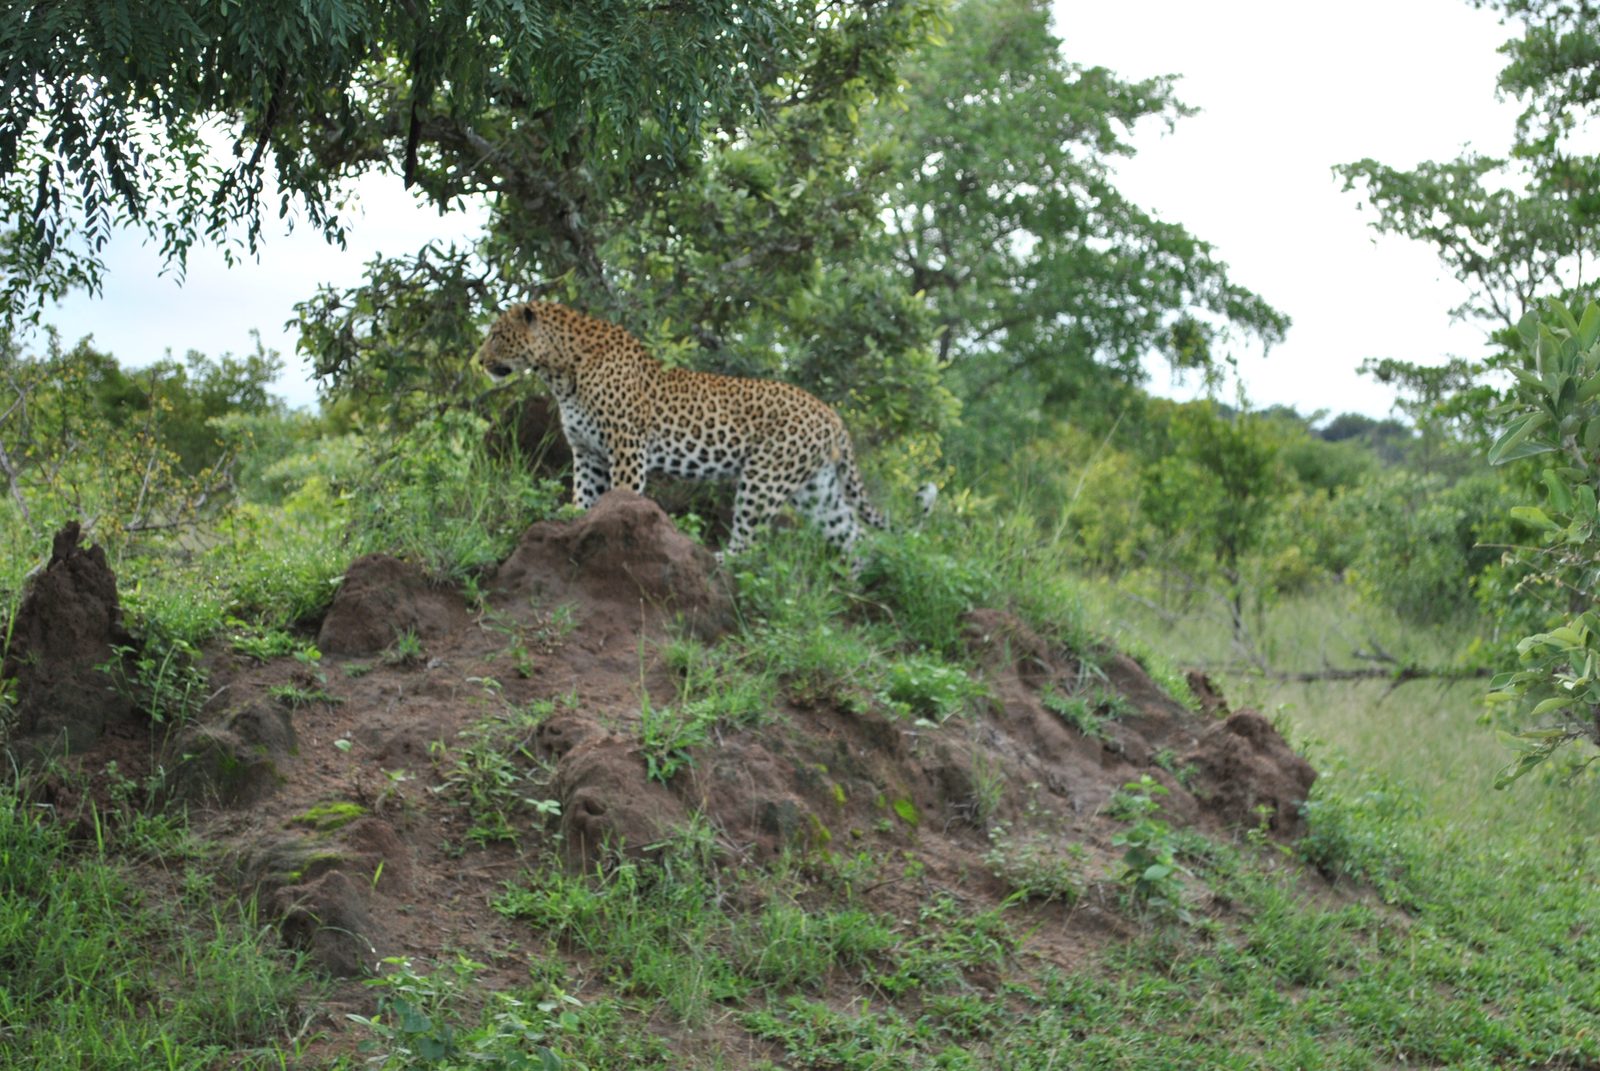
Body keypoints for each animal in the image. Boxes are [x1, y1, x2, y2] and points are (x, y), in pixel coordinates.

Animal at [476, 300, 887, 560]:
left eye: (496, 335)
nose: (478, 360)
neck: (560, 372)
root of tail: (832, 416)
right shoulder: (588, 452)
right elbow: (584, 498)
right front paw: (571, 524)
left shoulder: (627, 447)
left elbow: (622, 495)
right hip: (815, 489)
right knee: (854, 536)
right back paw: (862, 587)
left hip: (764, 478)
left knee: (748, 541)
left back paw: (722, 563)